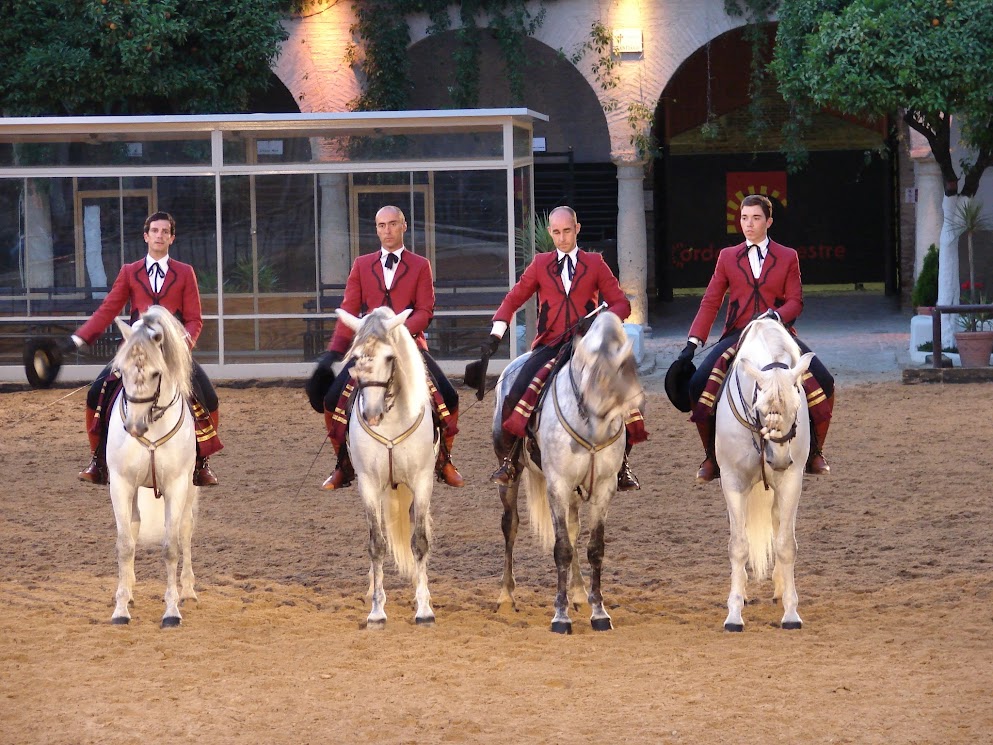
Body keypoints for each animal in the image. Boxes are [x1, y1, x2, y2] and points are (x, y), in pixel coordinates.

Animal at [106, 306, 198, 624]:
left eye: (157, 373)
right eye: (121, 371)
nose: (134, 426)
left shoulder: (177, 485)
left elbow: (171, 547)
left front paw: (172, 610)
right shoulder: (121, 484)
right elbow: (124, 545)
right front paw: (120, 608)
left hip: (191, 487)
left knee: (185, 530)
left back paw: (188, 591)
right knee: (134, 527)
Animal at [336, 306, 436, 624]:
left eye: (390, 357)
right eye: (355, 358)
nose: (371, 413)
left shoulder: (422, 481)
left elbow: (419, 542)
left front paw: (424, 609)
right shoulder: (368, 483)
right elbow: (376, 544)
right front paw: (377, 611)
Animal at [490, 310, 644, 632]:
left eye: (627, 367)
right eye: (594, 372)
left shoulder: (603, 488)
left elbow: (593, 548)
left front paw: (599, 612)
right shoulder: (558, 486)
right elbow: (561, 548)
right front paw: (560, 616)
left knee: (573, 530)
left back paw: (579, 594)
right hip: (510, 476)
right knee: (511, 525)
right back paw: (507, 596)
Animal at [716, 316, 816, 632]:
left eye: (797, 406)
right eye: (759, 409)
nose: (780, 459)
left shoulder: (792, 481)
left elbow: (786, 545)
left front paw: (791, 612)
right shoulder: (733, 481)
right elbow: (738, 546)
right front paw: (734, 614)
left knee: (776, 522)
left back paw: (780, 588)